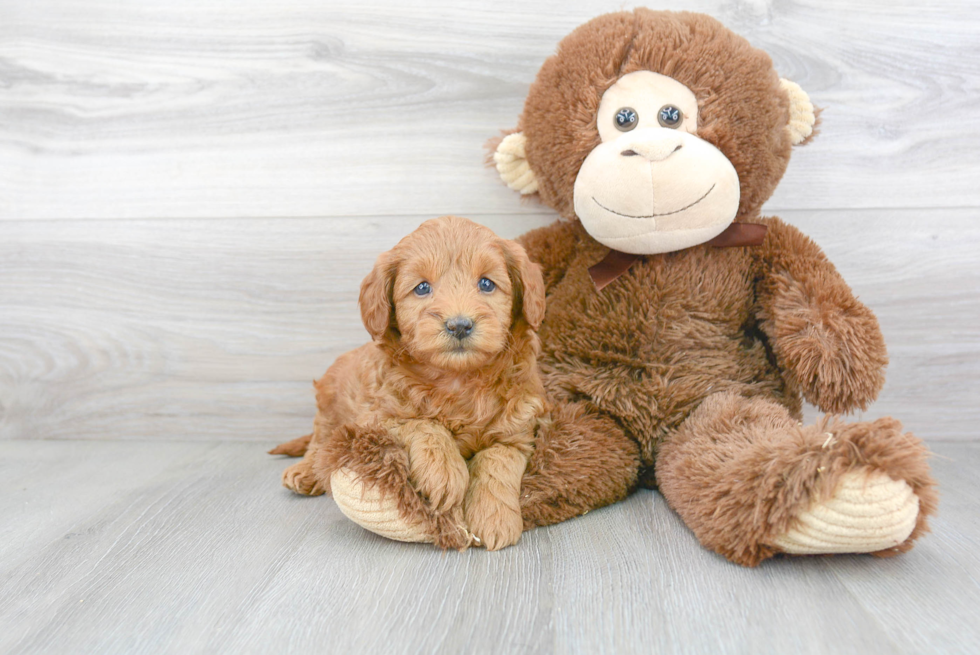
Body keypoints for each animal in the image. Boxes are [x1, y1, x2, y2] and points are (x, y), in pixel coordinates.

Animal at [272, 218, 548, 552]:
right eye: (422, 288)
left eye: (486, 284)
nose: (459, 325)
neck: (458, 379)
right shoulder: (377, 416)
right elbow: (423, 424)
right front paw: (445, 472)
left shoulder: (518, 428)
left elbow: (498, 460)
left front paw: (494, 518)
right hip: (329, 402)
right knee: (320, 439)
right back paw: (304, 470)